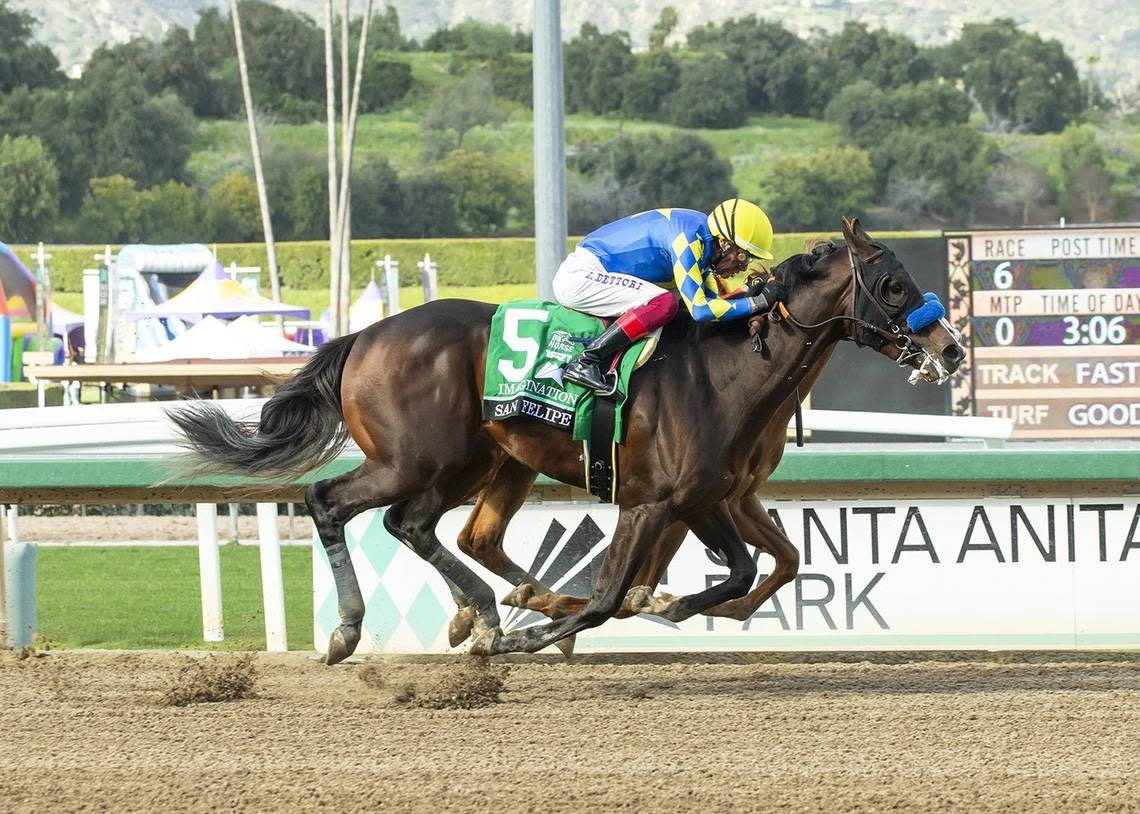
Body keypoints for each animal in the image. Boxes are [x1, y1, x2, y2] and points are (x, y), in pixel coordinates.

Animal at [173, 217, 966, 661]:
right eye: (893, 285)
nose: (952, 349)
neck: (728, 370)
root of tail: (363, 335)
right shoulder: (650, 502)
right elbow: (611, 592)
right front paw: (542, 632)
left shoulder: (709, 497)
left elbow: (758, 568)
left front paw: (666, 605)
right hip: (412, 459)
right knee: (333, 503)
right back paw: (360, 630)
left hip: (471, 463)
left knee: (429, 528)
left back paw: (485, 611)